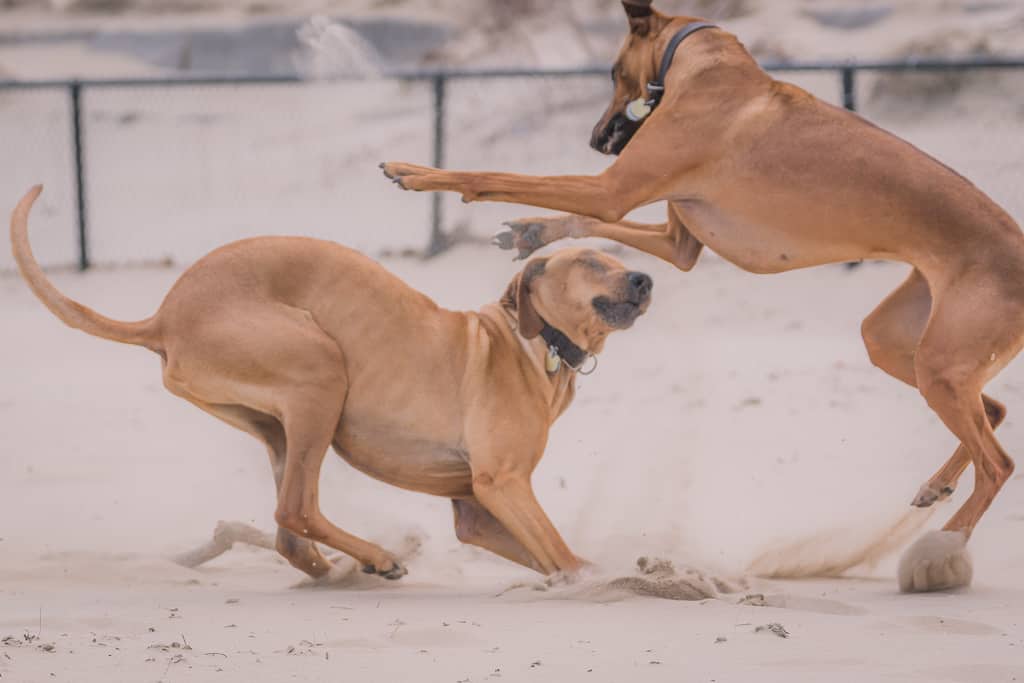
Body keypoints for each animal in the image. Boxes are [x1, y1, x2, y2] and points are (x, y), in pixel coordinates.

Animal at [12, 185, 651, 581]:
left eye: (618, 259)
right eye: (591, 263)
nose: (645, 279)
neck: (532, 343)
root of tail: (165, 316)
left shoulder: (476, 511)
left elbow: (553, 557)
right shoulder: (505, 484)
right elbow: (561, 554)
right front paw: (601, 580)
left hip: (277, 424)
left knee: (289, 533)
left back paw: (336, 570)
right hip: (319, 373)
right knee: (296, 510)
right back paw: (375, 557)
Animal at [385, 1, 1024, 593]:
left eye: (613, 70)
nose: (594, 140)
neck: (708, 62)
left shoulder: (612, 188)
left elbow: (496, 175)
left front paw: (418, 172)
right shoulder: (674, 240)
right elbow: (588, 222)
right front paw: (532, 232)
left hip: (940, 357)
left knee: (999, 461)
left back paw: (943, 548)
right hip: (904, 341)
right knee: (990, 412)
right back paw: (937, 484)